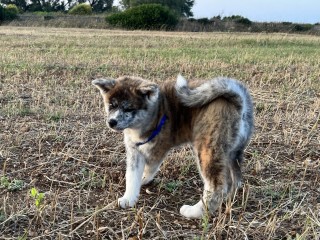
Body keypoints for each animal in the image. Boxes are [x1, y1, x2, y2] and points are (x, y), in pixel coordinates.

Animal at [93, 75, 255, 219]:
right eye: (112, 105)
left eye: (128, 109)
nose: (111, 122)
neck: (155, 113)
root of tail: (238, 102)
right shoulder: (134, 151)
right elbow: (132, 176)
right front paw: (129, 198)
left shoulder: (157, 149)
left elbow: (148, 169)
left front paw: (143, 179)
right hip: (232, 152)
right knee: (235, 180)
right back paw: (228, 199)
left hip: (207, 149)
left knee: (217, 187)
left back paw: (195, 212)